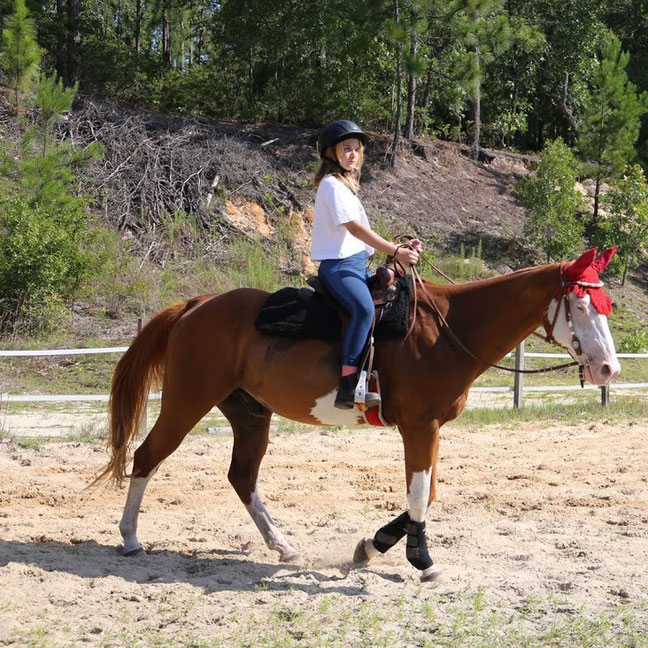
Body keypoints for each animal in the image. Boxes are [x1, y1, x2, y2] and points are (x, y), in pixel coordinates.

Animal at [96, 247, 620, 582]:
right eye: (579, 304)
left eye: (605, 304)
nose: (608, 368)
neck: (448, 332)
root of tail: (196, 304)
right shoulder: (420, 427)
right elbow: (419, 495)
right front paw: (421, 561)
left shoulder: (432, 430)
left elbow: (427, 493)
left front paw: (372, 547)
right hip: (187, 401)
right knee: (147, 457)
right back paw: (129, 538)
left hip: (249, 415)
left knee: (242, 476)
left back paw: (282, 545)